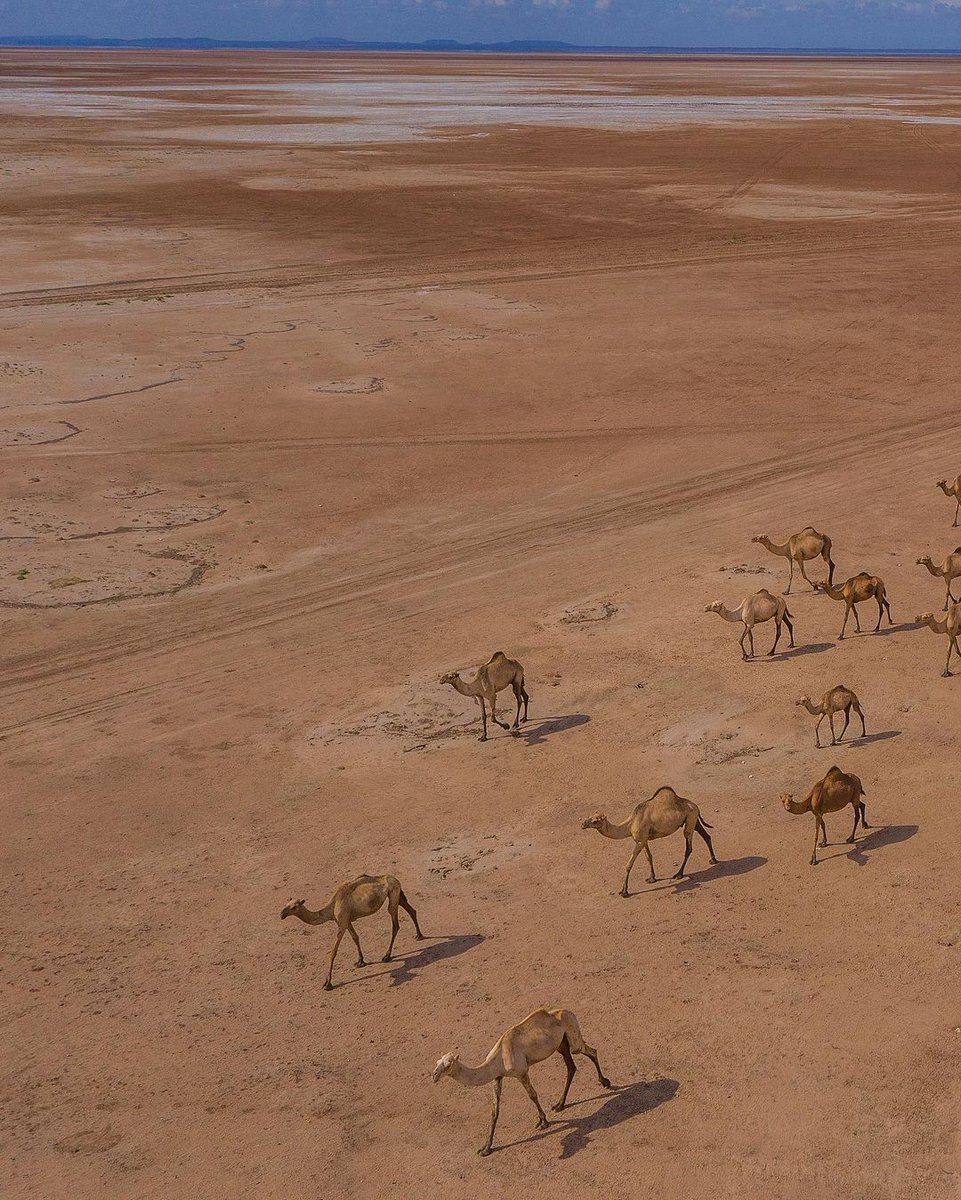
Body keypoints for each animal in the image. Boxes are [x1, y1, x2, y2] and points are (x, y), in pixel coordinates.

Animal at [281, 874, 424, 990]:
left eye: (294, 907)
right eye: (286, 904)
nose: (281, 914)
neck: (332, 907)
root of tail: (395, 878)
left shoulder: (342, 923)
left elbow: (333, 951)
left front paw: (327, 983)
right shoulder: (346, 921)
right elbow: (355, 937)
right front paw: (360, 961)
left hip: (393, 893)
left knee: (395, 924)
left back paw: (387, 956)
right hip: (397, 894)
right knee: (411, 910)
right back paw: (419, 935)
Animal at [431, 1006, 612, 1156]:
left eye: (448, 1065)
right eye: (437, 1062)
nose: (434, 1076)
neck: (498, 1059)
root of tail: (569, 1012)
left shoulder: (521, 1072)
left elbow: (533, 1095)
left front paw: (543, 1122)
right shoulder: (497, 1077)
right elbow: (494, 1111)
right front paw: (486, 1148)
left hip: (572, 1036)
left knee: (590, 1051)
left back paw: (605, 1082)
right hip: (561, 1044)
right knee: (571, 1067)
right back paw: (560, 1105)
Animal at [582, 785, 718, 895]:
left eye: (595, 821)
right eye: (589, 817)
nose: (583, 824)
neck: (630, 824)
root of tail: (695, 806)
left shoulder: (640, 841)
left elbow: (629, 864)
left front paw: (624, 891)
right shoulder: (643, 839)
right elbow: (649, 857)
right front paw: (652, 878)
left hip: (690, 819)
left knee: (688, 847)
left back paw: (679, 874)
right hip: (693, 819)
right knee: (706, 836)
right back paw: (713, 860)